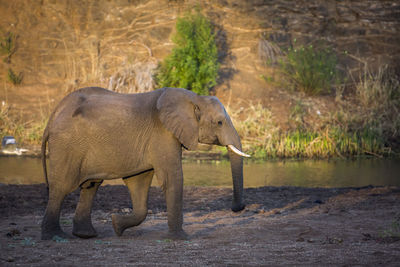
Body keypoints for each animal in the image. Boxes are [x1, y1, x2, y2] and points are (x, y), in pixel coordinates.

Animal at [39, 87, 247, 241]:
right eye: (219, 122)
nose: (237, 208)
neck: (194, 97)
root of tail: (52, 116)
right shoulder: (162, 134)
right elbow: (172, 179)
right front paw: (180, 239)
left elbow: (138, 183)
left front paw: (116, 225)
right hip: (67, 145)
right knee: (61, 187)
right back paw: (55, 236)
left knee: (91, 186)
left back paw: (86, 235)